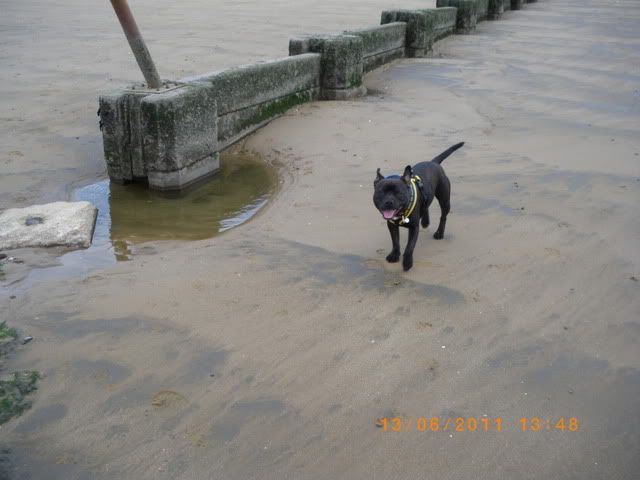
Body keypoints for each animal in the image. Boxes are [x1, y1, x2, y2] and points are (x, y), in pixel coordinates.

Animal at [372, 142, 462, 270]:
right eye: (381, 192)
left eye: (399, 193)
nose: (389, 201)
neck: (401, 214)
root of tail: (434, 162)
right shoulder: (392, 226)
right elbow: (395, 241)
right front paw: (394, 255)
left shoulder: (414, 228)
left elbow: (409, 247)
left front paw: (407, 262)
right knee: (426, 205)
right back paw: (425, 221)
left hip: (444, 200)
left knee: (443, 216)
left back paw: (439, 233)